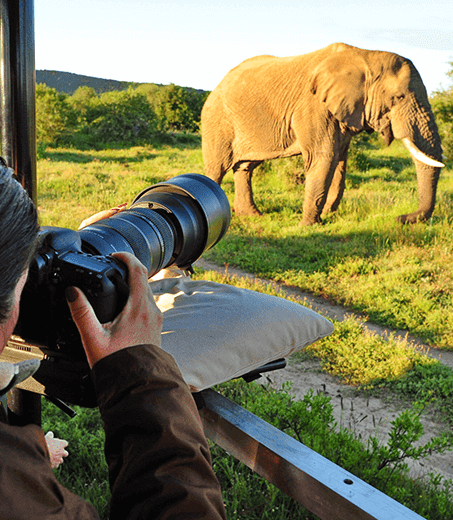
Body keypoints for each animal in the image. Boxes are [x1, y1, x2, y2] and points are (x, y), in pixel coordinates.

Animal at [200, 42, 442, 225]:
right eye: (399, 97)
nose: (400, 218)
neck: (366, 55)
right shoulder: (313, 106)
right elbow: (323, 157)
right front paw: (308, 225)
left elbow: (340, 161)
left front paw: (326, 216)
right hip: (217, 121)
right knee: (217, 168)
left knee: (245, 167)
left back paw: (252, 216)